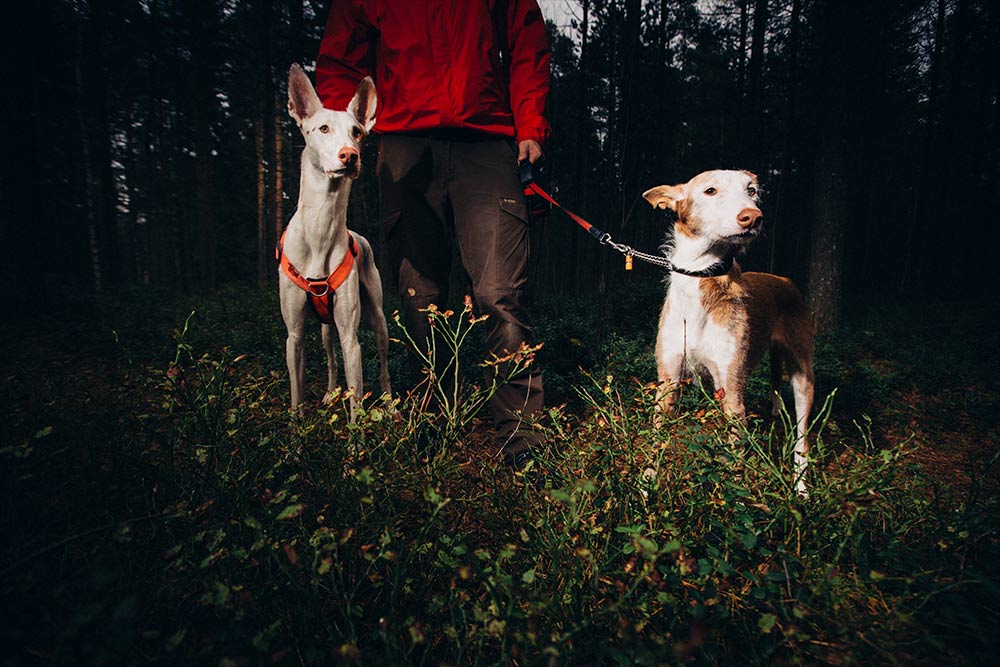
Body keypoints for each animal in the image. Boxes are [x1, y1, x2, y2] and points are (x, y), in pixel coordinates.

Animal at [282, 64, 394, 418]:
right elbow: (296, 393)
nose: (350, 156)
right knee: (331, 359)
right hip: (324, 329)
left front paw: (358, 432)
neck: (321, 228)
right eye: (323, 128)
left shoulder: (351, 337)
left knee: (383, 364)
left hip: (377, 318)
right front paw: (296, 429)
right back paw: (331, 392)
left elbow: (357, 396)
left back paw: (392, 405)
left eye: (357, 131)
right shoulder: (294, 336)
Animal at [648, 171, 812, 496]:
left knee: (802, 440)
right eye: (710, 190)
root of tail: (785, 280)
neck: (701, 276)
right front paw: (644, 485)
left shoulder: (733, 392)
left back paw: (801, 487)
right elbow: (656, 439)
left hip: (803, 378)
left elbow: (733, 464)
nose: (753, 217)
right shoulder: (668, 381)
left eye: (752, 191)